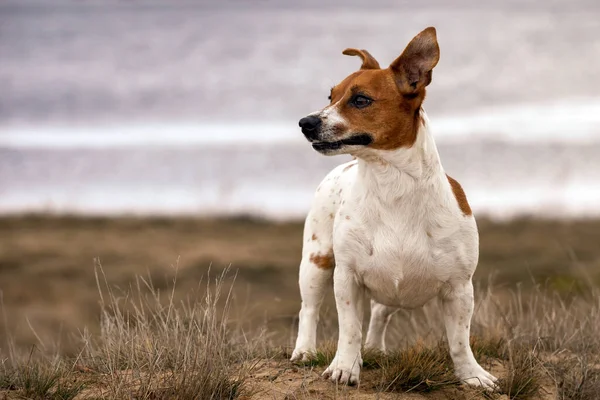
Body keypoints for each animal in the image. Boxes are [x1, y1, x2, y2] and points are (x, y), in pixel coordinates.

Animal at [290, 26, 496, 390]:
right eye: (330, 96)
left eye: (360, 99)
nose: (305, 122)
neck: (392, 185)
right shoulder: (346, 278)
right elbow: (348, 330)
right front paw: (344, 368)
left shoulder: (460, 288)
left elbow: (459, 340)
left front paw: (472, 375)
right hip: (316, 263)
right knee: (309, 310)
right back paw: (306, 351)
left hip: (389, 289)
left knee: (378, 314)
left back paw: (374, 348)